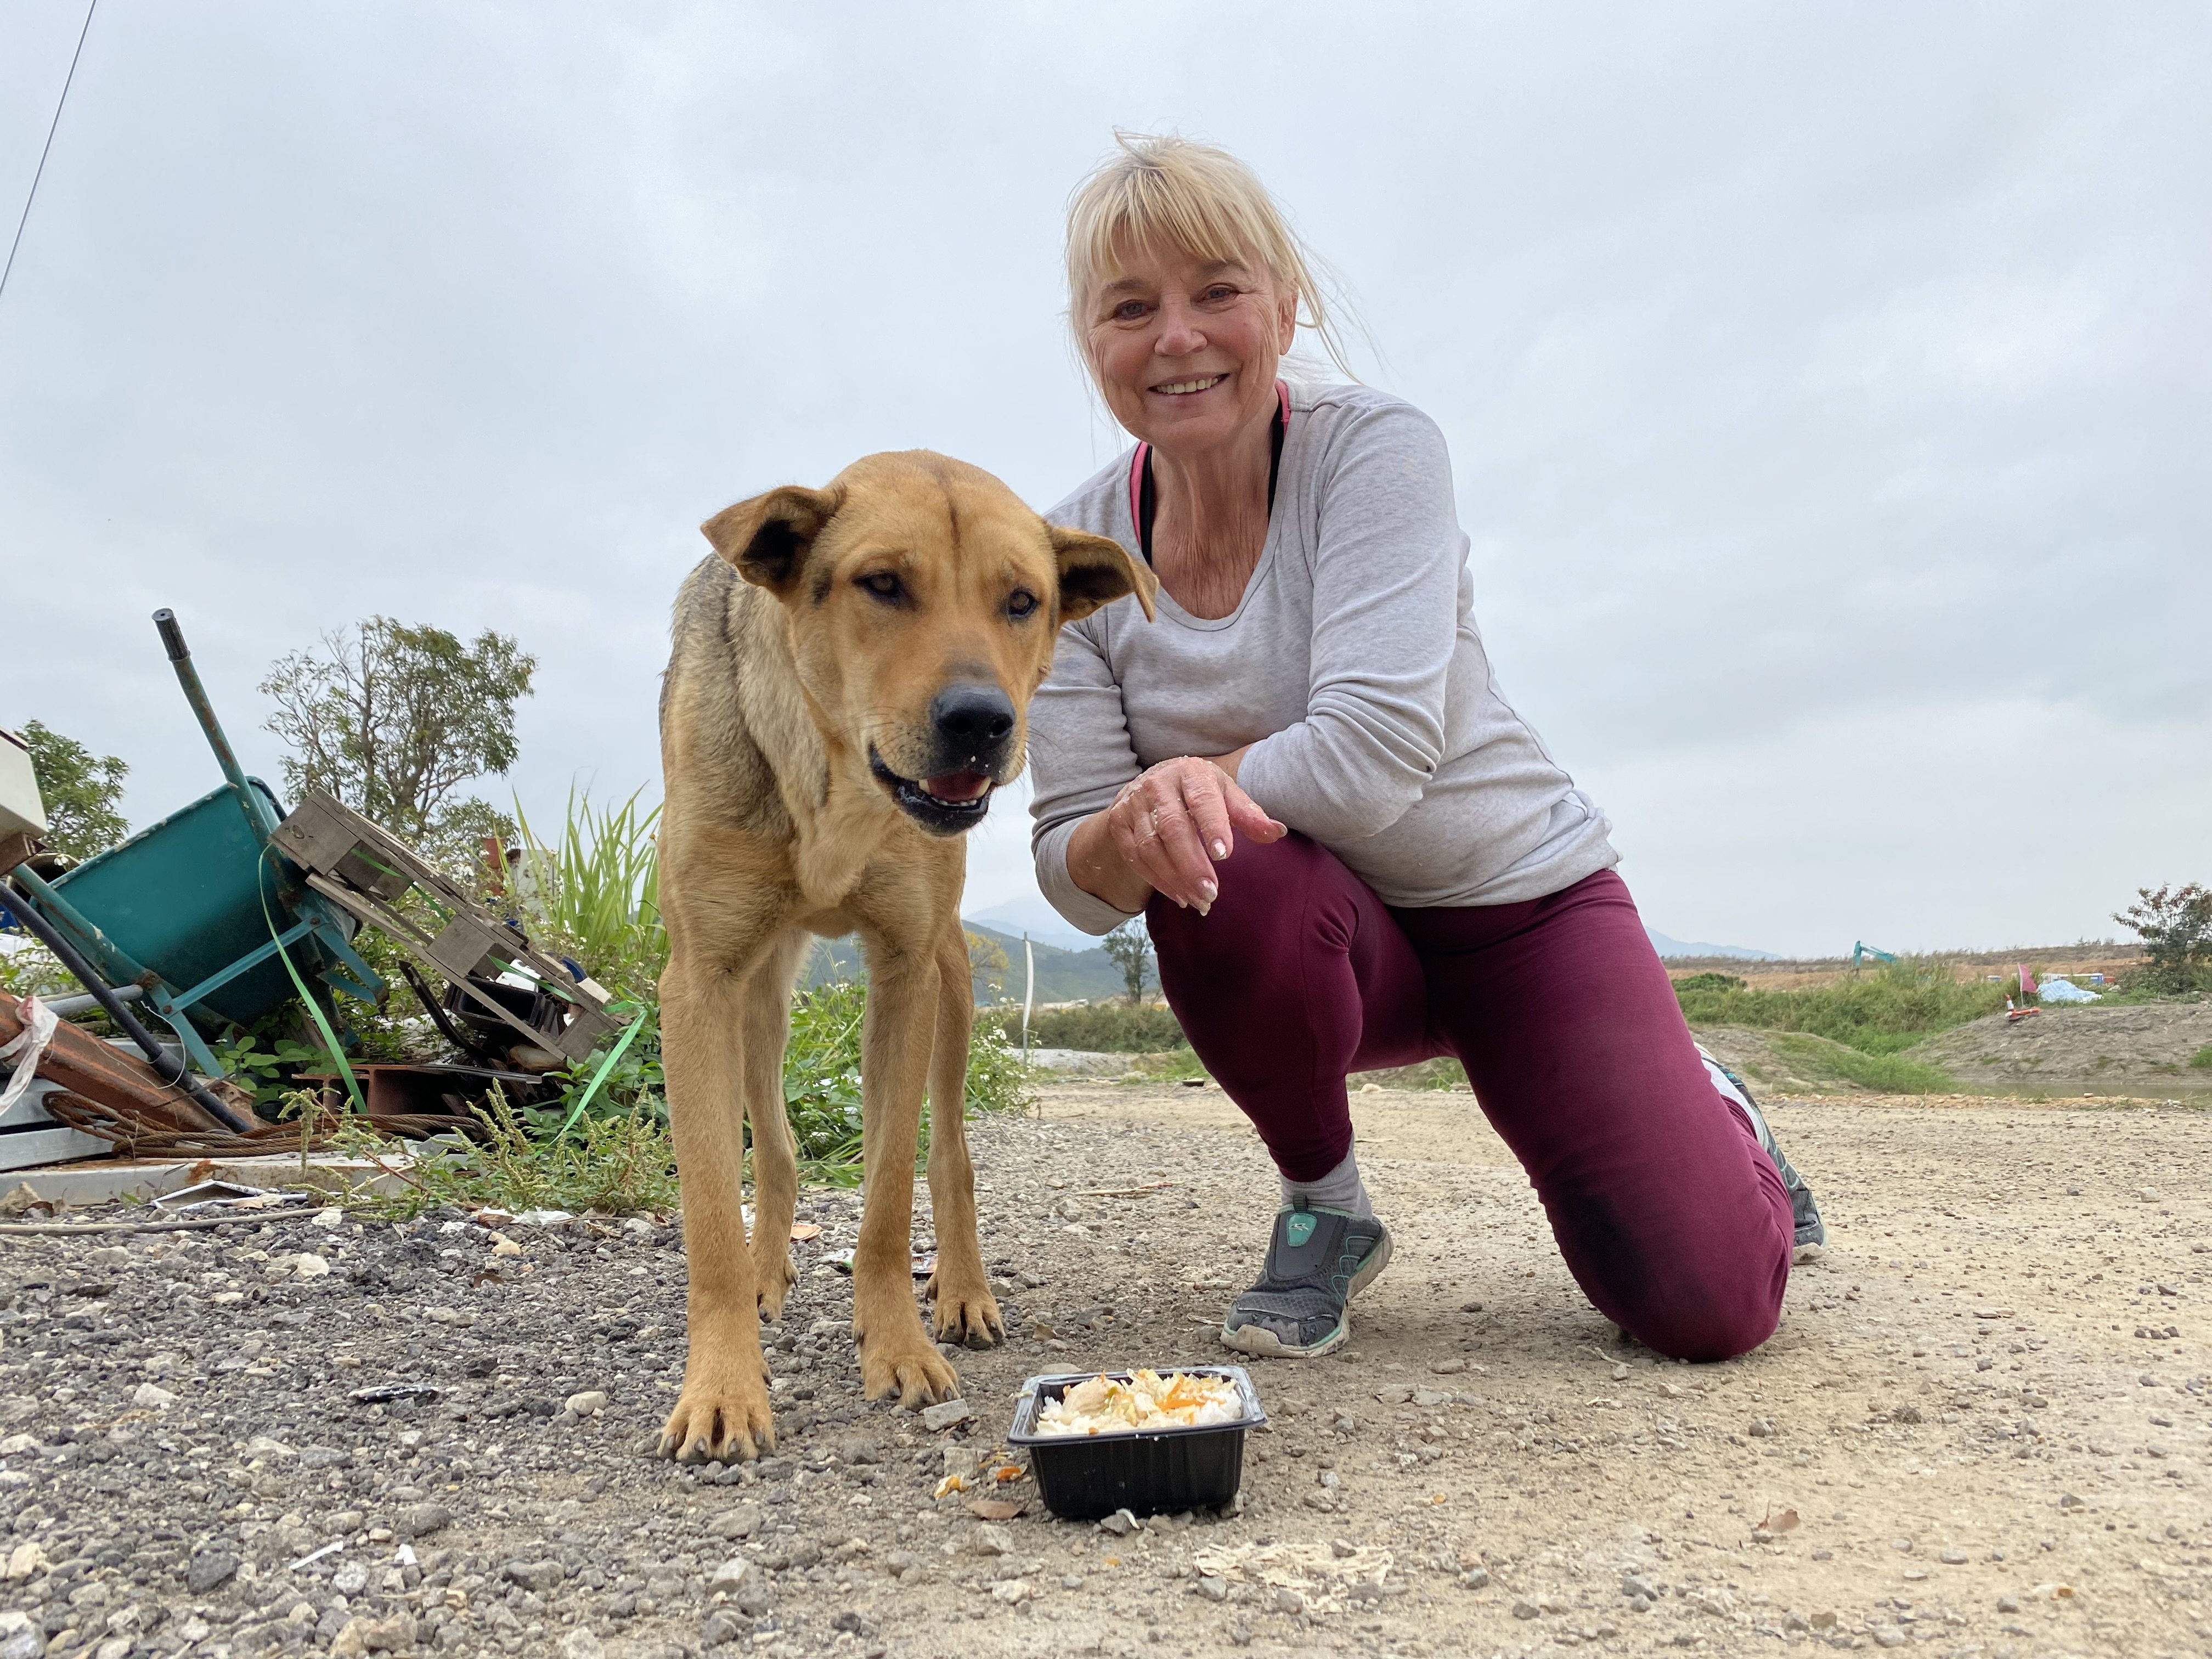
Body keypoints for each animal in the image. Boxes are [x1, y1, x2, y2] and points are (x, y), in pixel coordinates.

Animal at [650, 449, 1159, 1460]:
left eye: (1022, 600)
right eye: (882, 584)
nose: (981, 721)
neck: (835, 783)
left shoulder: (904, 972)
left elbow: (889, 1192)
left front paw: (897, 1347)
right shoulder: (697, 985)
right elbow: (711, 1215)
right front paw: (723, 1385)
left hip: (953, 985)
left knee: (951, 1151)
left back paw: (961, 1290)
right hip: (762, 1000)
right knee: (775, 1147)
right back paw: (769, 1268)